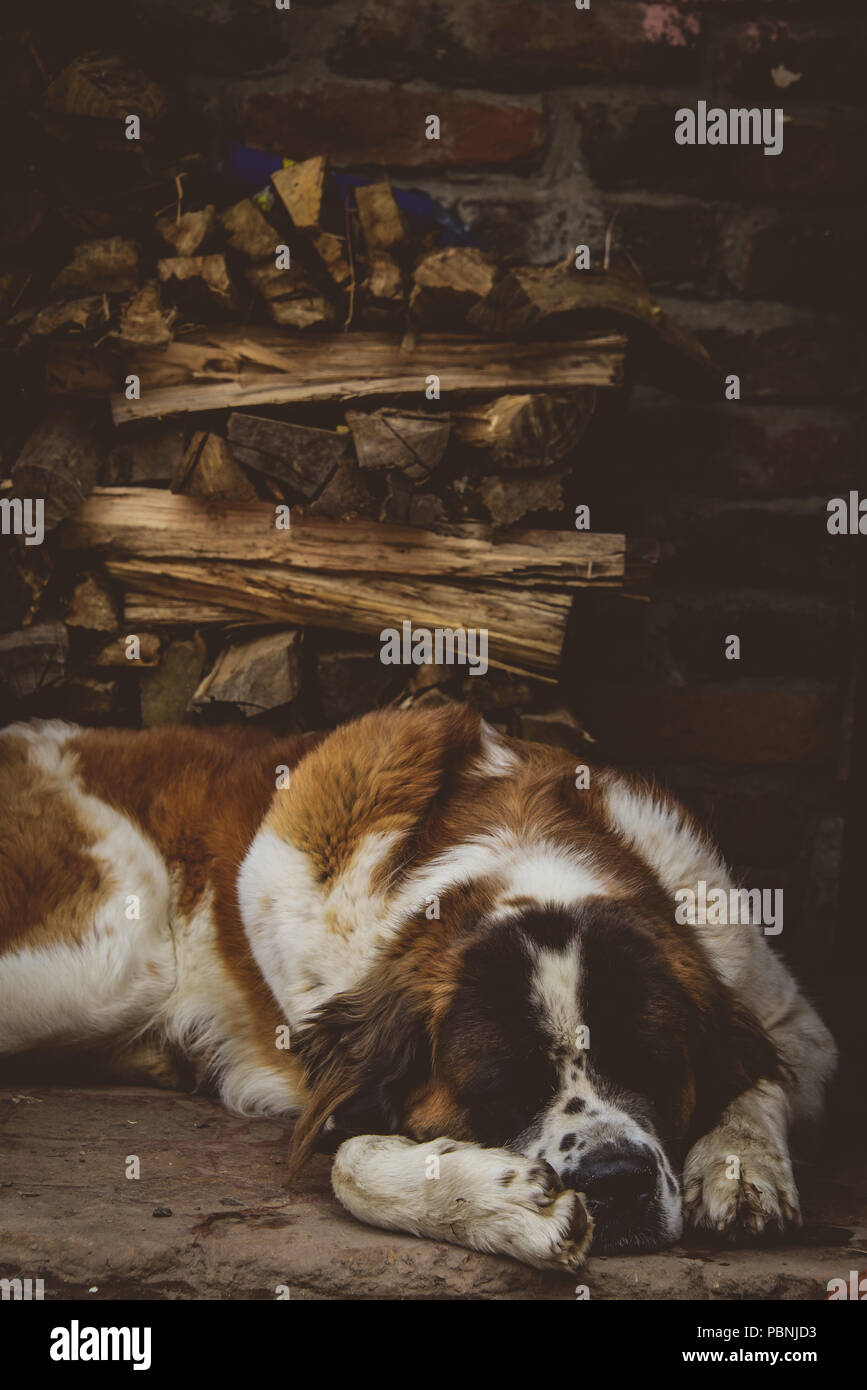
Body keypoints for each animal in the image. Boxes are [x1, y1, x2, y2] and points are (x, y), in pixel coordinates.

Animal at [1, 706, 839, 1273]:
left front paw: (740, 1168)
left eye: (651, 1066)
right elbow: (348, 1162)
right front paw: (507, 1203)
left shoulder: (784, 1010)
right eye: (505, 1089)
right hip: (103, 957)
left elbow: (762, 1077)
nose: (615, 1180)